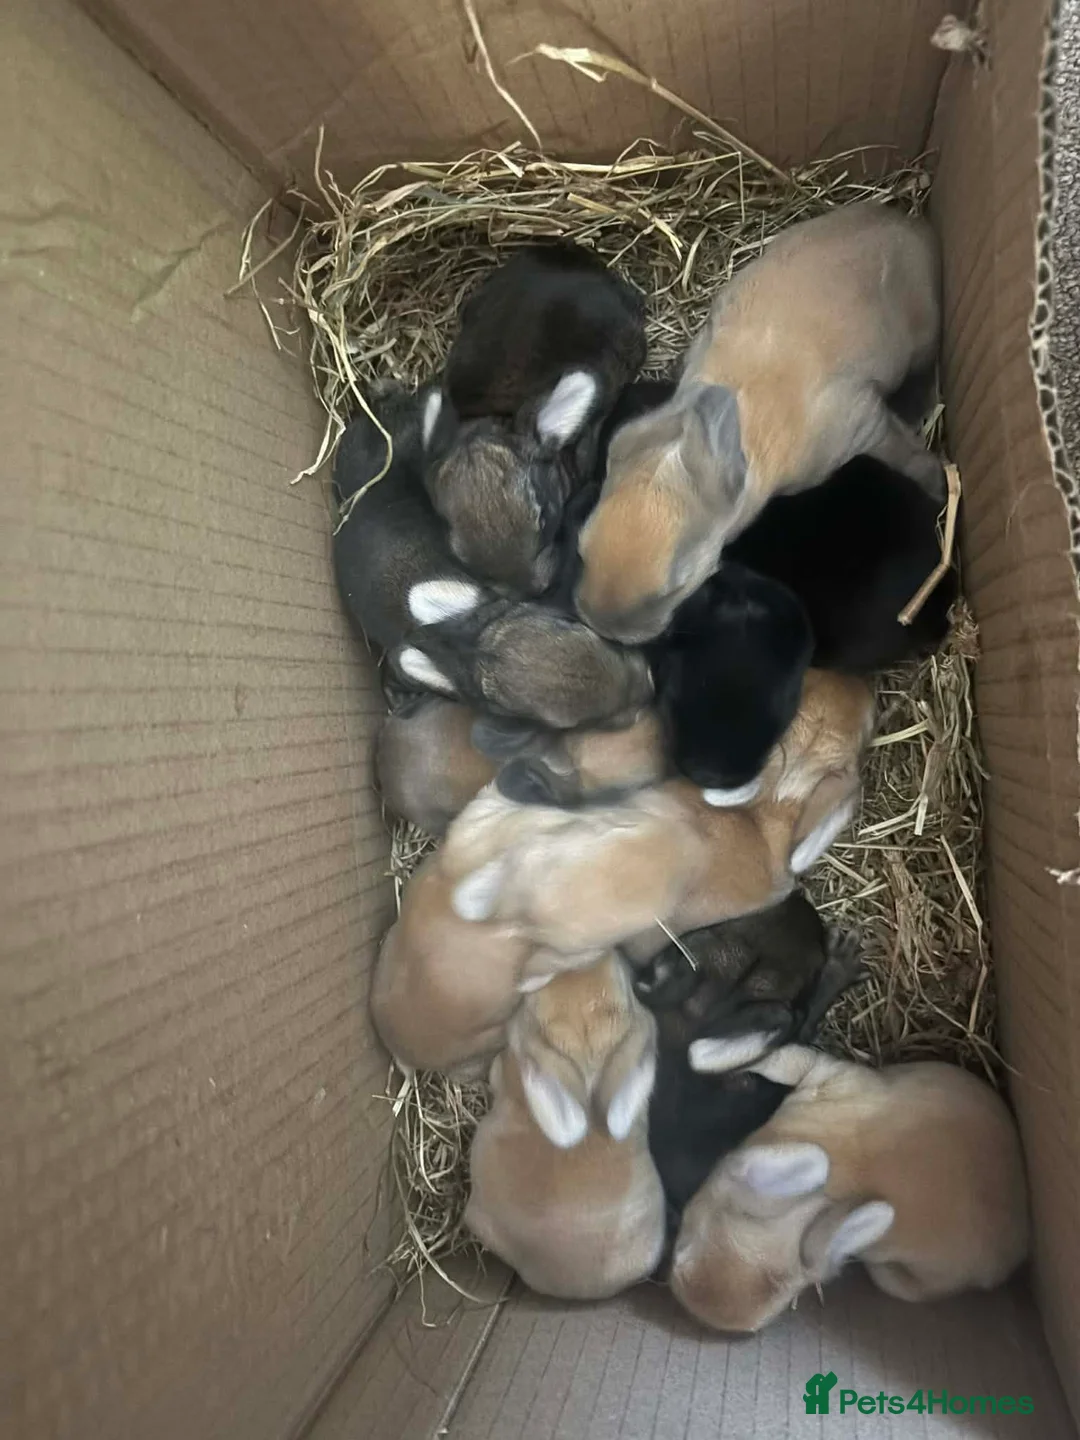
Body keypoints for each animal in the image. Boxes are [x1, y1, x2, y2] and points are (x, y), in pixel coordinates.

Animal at [575, 203, 943, 643]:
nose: (601, 624)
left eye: (677, 584)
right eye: (582, 547)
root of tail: (920, 228)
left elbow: (905, 452)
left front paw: (941, 486)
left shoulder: (861, 423)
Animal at [633, 910, 866, 1218]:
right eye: (805, 974)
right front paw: (842, 961)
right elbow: (806, 1020)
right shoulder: (794, 1031)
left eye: (705, 933)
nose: (803, 904)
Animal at [670, 1045, 1029, 1333]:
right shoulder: (825, 1073)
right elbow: (778, 1057)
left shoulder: (824, 1072)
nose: (680, 1298)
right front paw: (704, 1054)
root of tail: (1017, 1253)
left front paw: (699, 1052)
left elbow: (782, 1057)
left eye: (682, 1251)